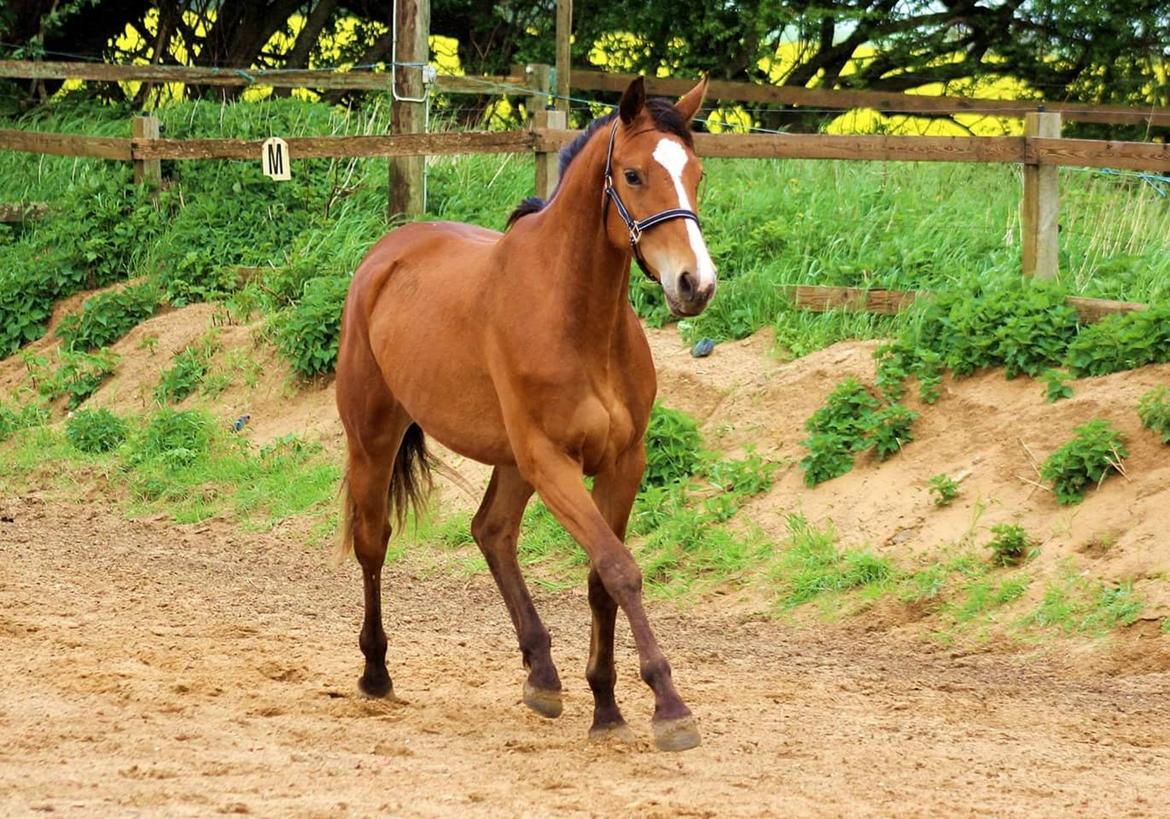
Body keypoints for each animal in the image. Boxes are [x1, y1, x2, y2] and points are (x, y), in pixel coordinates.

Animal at [329, 76, 711, 753]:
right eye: (634, 175)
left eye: (697, 173)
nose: (696, 284)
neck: (577, 318)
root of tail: (387, 252)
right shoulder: (551, 460)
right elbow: (620, 567)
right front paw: (669, 706)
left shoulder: (622, 462)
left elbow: (602, 577)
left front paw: (606, 705)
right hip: (375, 437)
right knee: (374, 541)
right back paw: (376, 672)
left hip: (509, 460)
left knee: (492, 531)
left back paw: (543, 675)